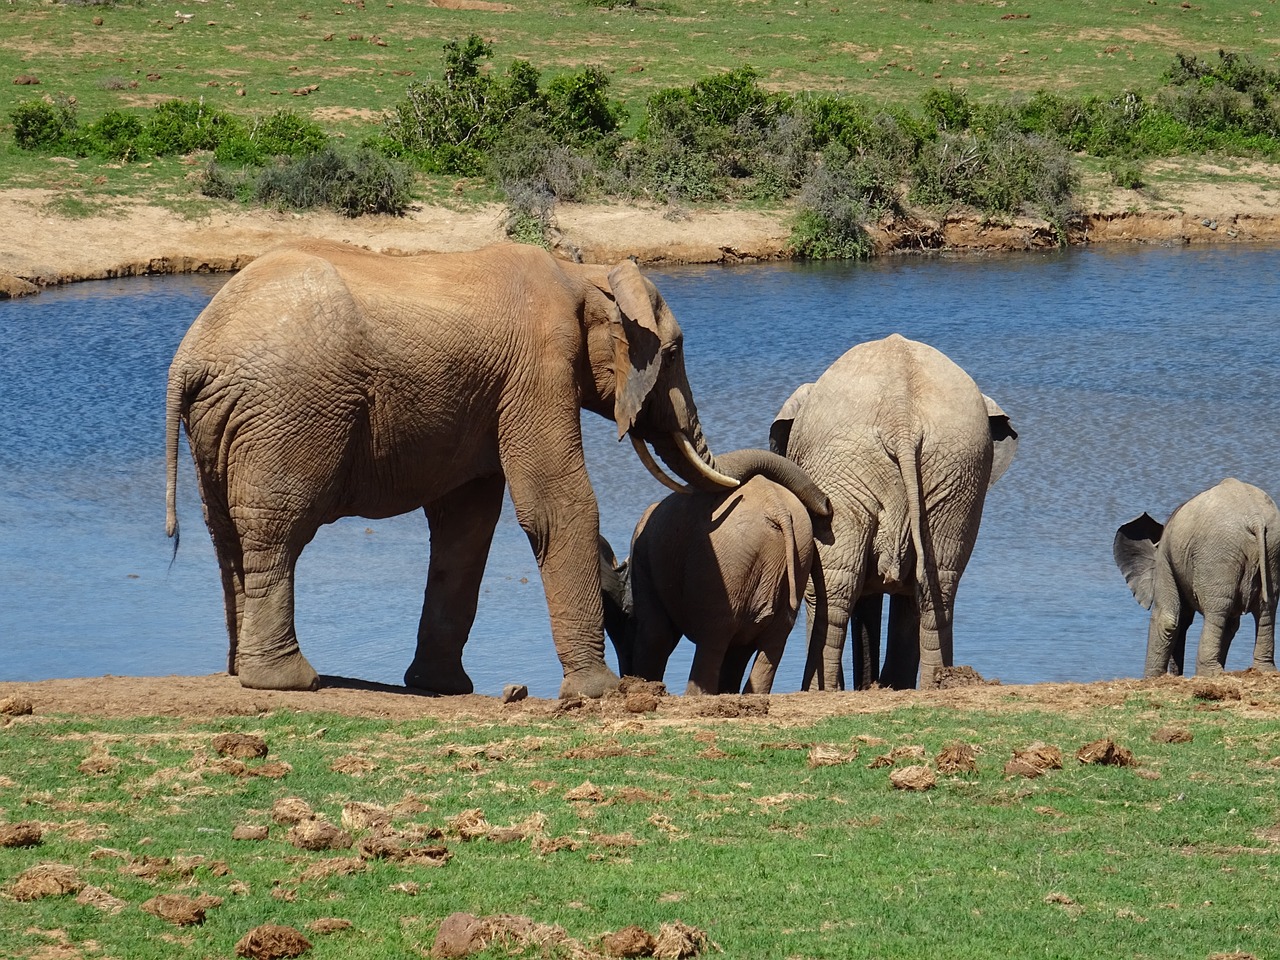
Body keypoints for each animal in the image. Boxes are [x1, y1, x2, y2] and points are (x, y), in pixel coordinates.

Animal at [168, 236, 747, 696]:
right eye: (674, 353)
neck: (584, 274)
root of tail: (192, 355)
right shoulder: (540, 366)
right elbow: (557, 503)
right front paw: (599, 693)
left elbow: (467, 525)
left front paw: (441, 688)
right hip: (288, 411)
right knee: (279, 529)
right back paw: (287, 681)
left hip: (221, 423)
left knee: (227, 533)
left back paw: (239, 672)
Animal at [599, 450, 829, 701]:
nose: (626, 678)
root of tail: (775, 506)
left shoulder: (644, 562)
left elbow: (655, 633)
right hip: (797, 552)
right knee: (771, 640)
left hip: (729, 562)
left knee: (713, 637)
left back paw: (696, 697)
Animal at [768, 335, 1018, 691]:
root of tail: (903, 418)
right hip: (955, 471)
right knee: (935, 585)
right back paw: (934, 684)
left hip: (850, 470)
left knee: (835, 586)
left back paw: (818, 691)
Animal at [1111, 478, 1280, 675]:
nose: (1176, 674)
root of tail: (1255, 518)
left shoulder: (1164, 558)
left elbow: (1166, 619)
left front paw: (1151, 679)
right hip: (1271, 549)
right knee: (1265, 607)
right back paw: (1264, 669)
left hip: (1217, 552)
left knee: (1217, 610)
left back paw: (1209, 673)